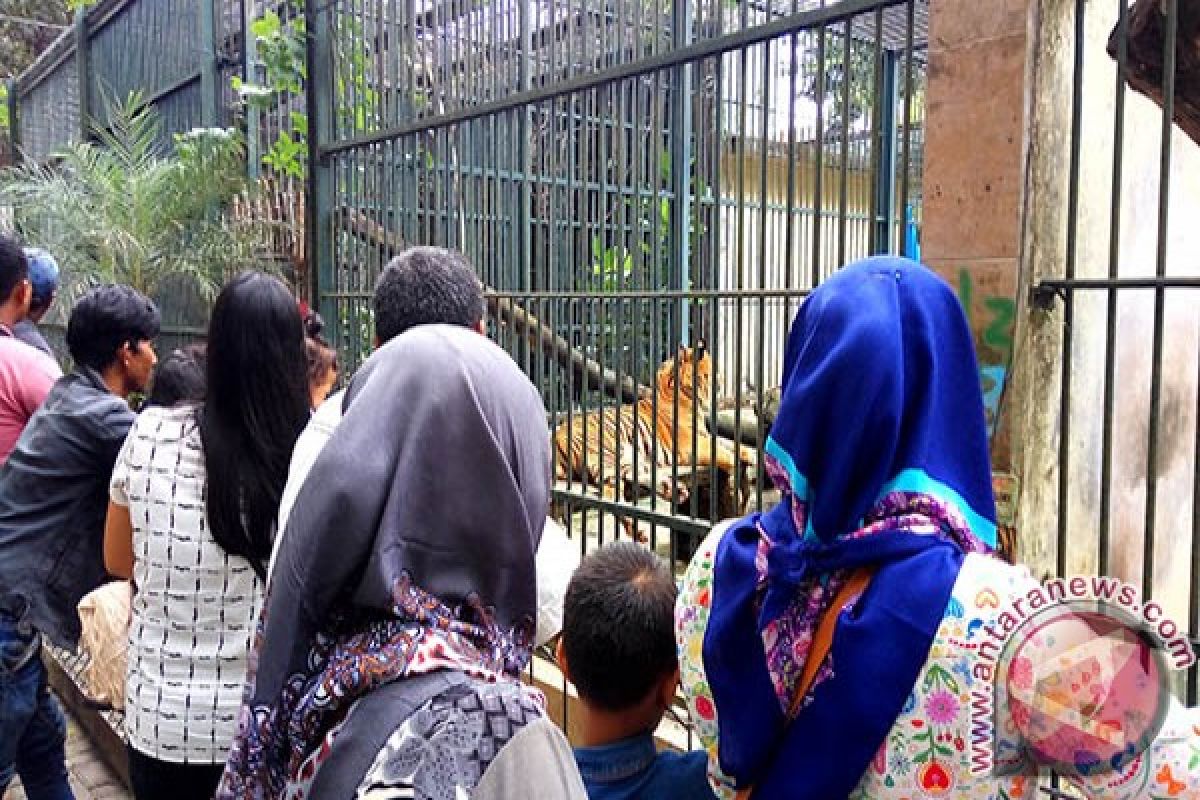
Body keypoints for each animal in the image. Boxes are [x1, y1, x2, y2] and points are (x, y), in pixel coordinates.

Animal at [549, 340, 748, 542]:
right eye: (712, 370)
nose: (721, 383)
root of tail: (555, 438)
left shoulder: (704, 436)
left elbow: (732, 446)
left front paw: (751, 458)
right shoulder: (692, 445)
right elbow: (728, 456)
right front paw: (737, 490)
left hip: (629, 458)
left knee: (627, 480)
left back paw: (671, 491)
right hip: (609, 453)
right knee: (610, 495)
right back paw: (639, 528)